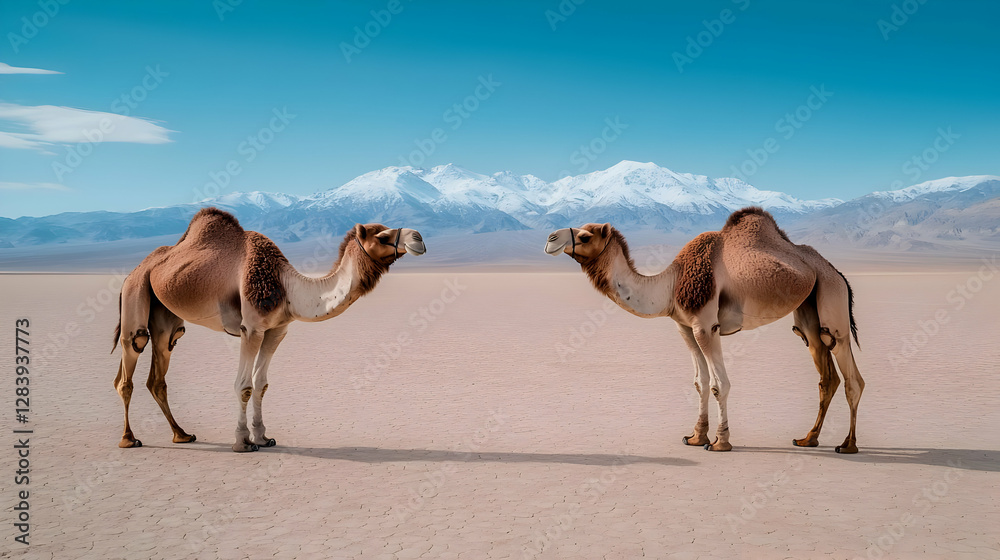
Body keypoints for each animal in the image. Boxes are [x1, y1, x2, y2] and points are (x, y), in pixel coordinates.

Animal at [112, 207, 426, 452]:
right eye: (381, 236)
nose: (419, 238)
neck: (288, 289)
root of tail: (139, 267)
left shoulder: (277, 330)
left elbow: (261, 384)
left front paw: (263, 438)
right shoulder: (251, 328)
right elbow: (244, 386)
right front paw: (242, 442)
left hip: (166, 314)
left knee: (160, 367)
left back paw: (182, 434)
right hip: (136, 292)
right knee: (131, 358)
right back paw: (129, 439)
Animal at [544, 207, 864, 453]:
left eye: (585, 236)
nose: (550, 238)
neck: (671, 284)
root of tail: (837, 272)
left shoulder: (706, 326)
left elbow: (719, 384)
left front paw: (721, 442)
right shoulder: (685, 327)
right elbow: (700, 382)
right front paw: (696, 437)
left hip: (831, 299)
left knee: (851, 376)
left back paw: (848, 445)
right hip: (809, 308)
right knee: (825, 372)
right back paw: (808, 439)